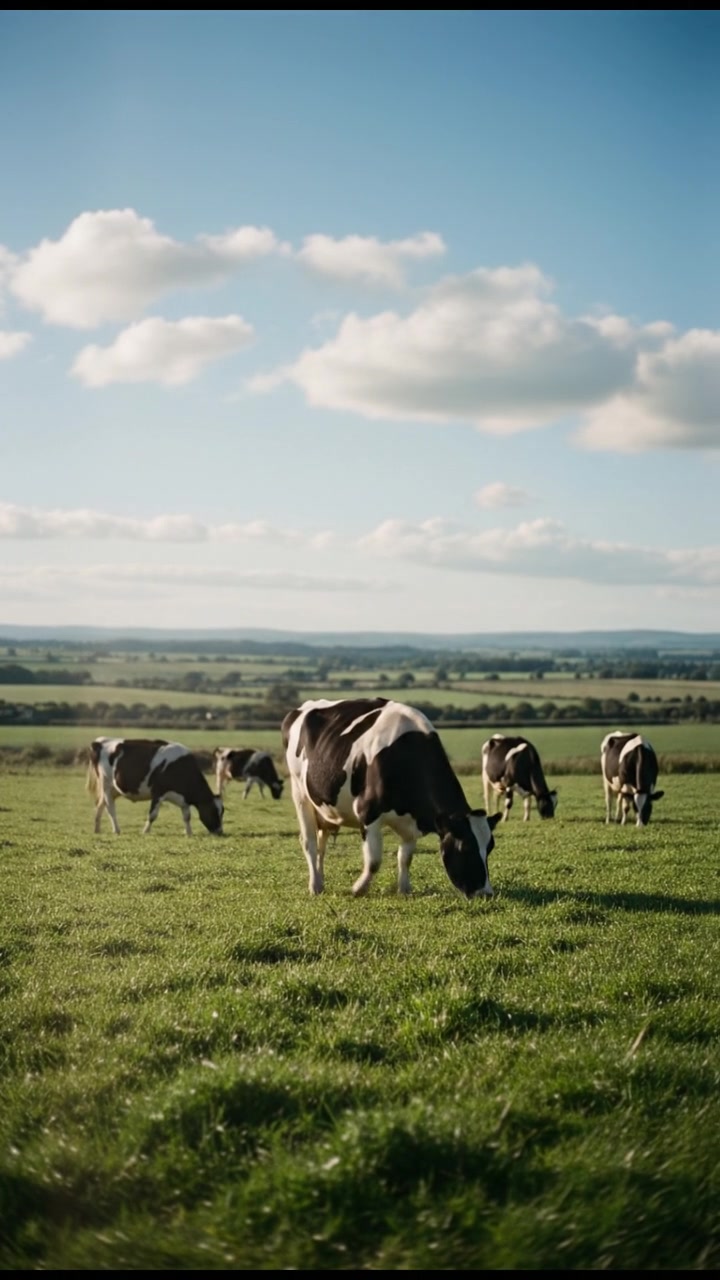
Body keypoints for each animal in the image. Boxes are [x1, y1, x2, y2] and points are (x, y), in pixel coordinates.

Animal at [87, 737, 224, 836]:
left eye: (222, 812)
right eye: (213, 811)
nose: (220, 832)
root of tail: (99, 742)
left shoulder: (183, 798)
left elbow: (187, 816)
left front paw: (189, 833)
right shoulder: (158, 793)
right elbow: (152, 815)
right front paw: (145, 831)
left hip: (114, 789)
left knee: (100, 805)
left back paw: (97, 829)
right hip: (106, 784)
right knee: (110, 808)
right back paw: (116, 830)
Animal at [281, 697, 502, 899]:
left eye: (490, 847)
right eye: (465, 847)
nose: (486, 893)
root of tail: (303, 707)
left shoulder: (412, 823)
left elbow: (405, 857)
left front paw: (404, 890)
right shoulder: (368, 813)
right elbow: (373, 861)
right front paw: (358, 889)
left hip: (323, 806)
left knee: (322, 844)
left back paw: (320, 879)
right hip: (300, 792)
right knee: (309, 842)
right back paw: (315, 885)